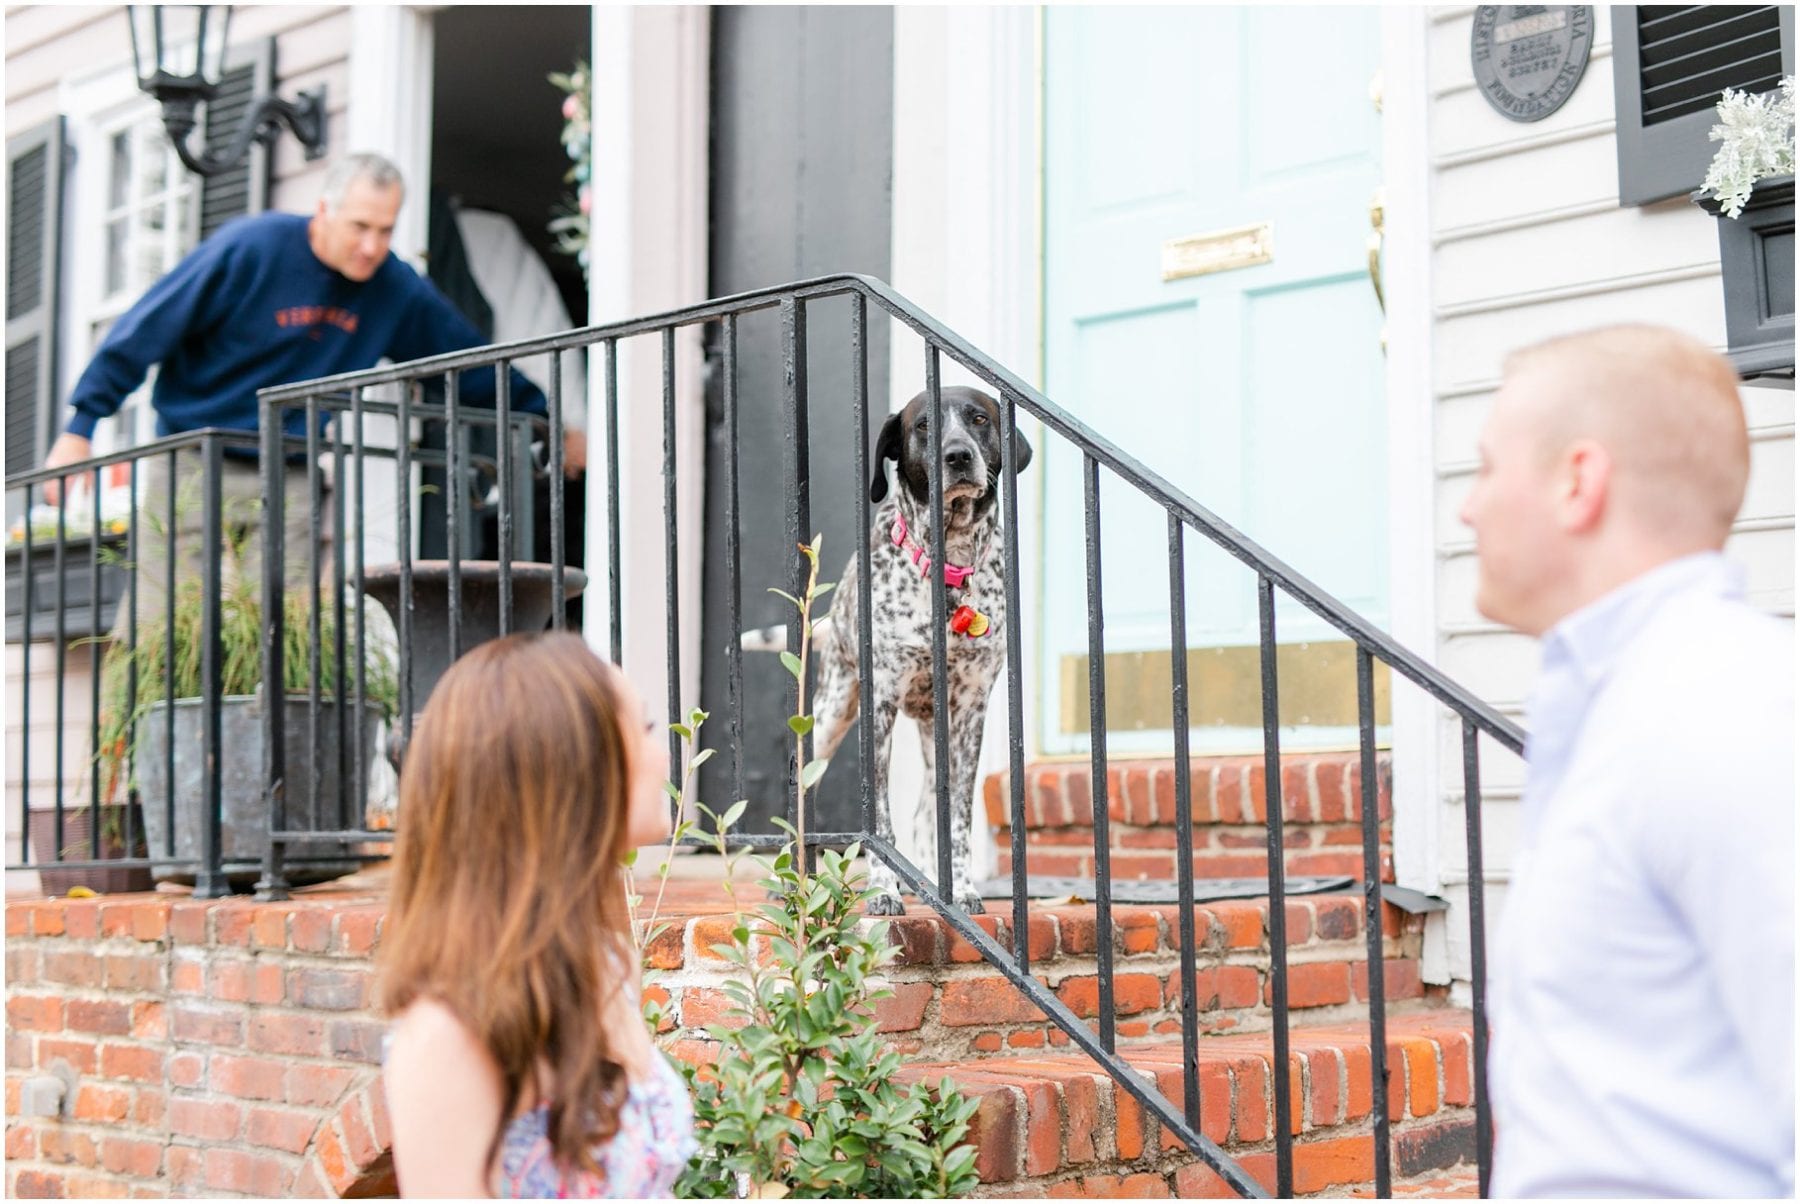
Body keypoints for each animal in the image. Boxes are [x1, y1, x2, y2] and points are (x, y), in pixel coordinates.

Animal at [810, 385, 1036, 910]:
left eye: (978, 418)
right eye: (923, 425)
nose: (958, 456)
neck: (947, 563)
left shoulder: (972, 711)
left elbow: (957, 819)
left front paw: (964, 887)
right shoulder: (880, 706)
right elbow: (880, 822)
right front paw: (881, 888)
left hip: (938, 739)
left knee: (927, 815)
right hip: (829, 715)